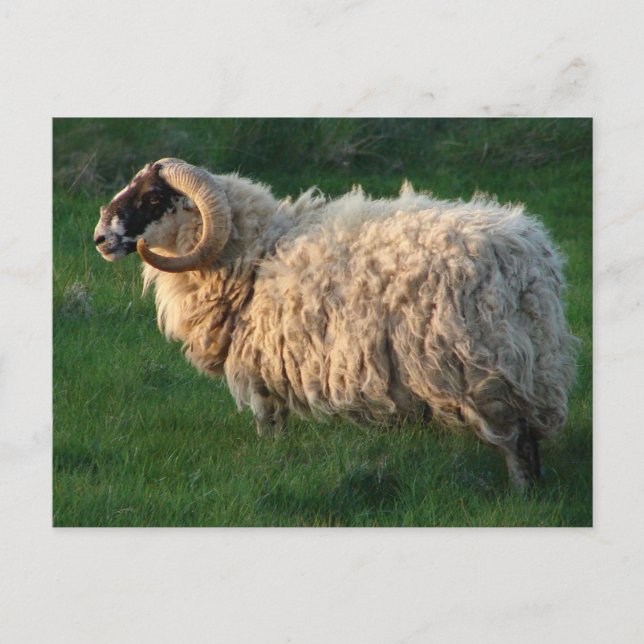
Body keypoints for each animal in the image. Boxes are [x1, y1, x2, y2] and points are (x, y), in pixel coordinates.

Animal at [93, 158, 578, 491]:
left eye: (153, 198)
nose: (99, 238)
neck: (256, 252)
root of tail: (525, 264)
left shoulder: (259, 365)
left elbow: (269, 423)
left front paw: (271, 462)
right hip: (528, 364)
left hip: (480, 366)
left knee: (515, 439)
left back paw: (520, 495)